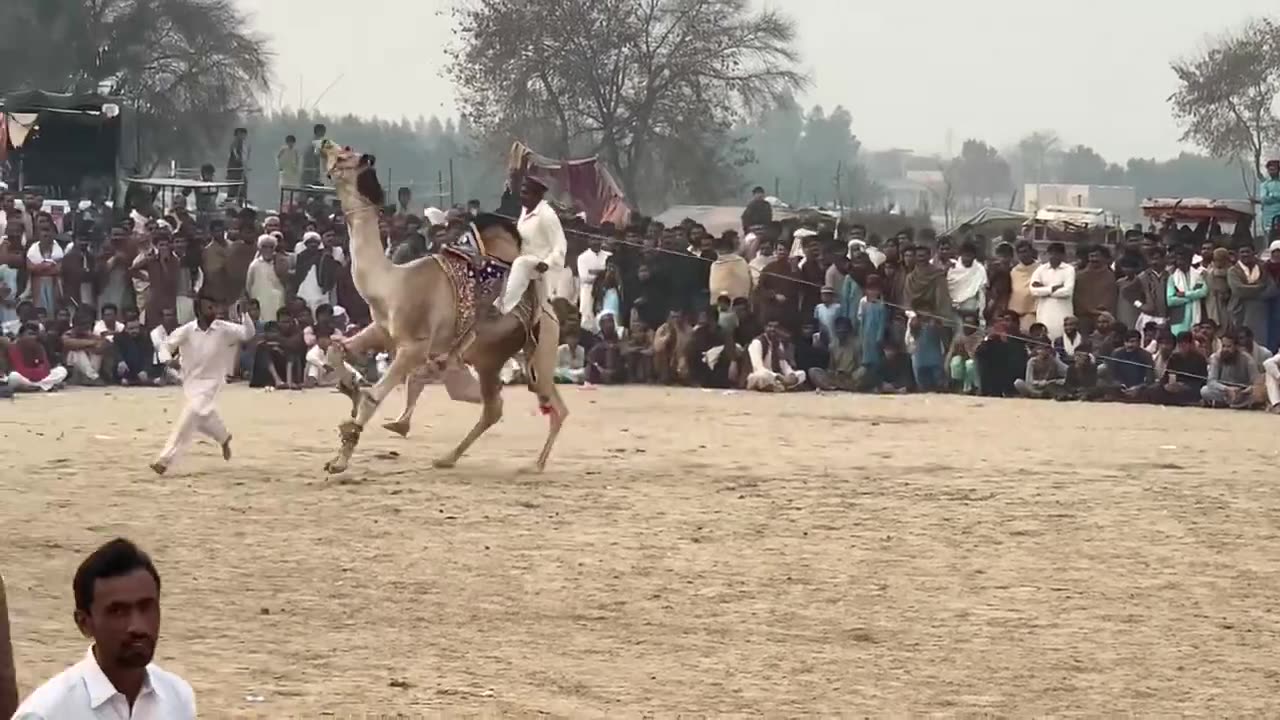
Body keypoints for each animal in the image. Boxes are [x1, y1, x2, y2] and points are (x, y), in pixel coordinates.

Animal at [317, 142, 568, 474]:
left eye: (346, 154)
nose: (325, 145)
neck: (392, 282)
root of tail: (551, 313)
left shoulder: (415, 346)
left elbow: (373, 397)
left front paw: (340, 461)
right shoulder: (382, 329)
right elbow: (336, 349)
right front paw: (350, 388)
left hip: (535, 351)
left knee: (539, 404)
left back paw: (532, 465)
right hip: (499, 358)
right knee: (512, 407)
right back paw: (450, 458)